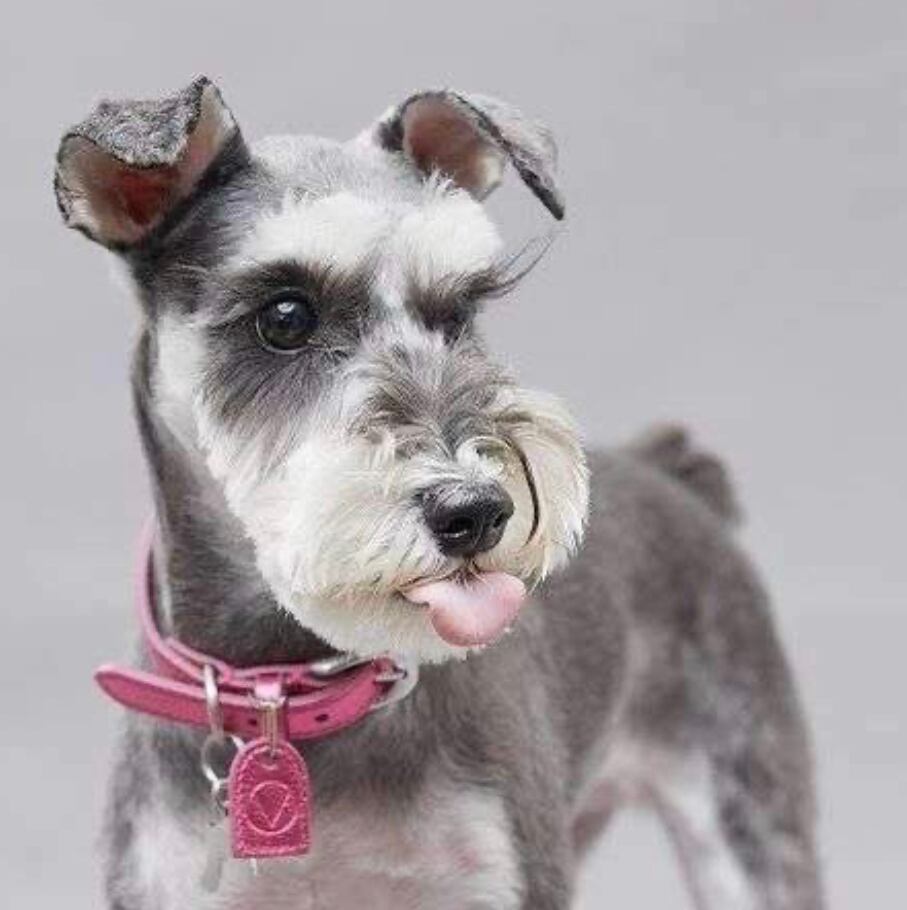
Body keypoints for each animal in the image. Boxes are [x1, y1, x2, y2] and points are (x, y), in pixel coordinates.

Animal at [55, 77, 824, 909]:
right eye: (285, 315)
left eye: (461, 312)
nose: (478, 512)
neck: (290, 694)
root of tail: (674, 478)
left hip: (748, 826)